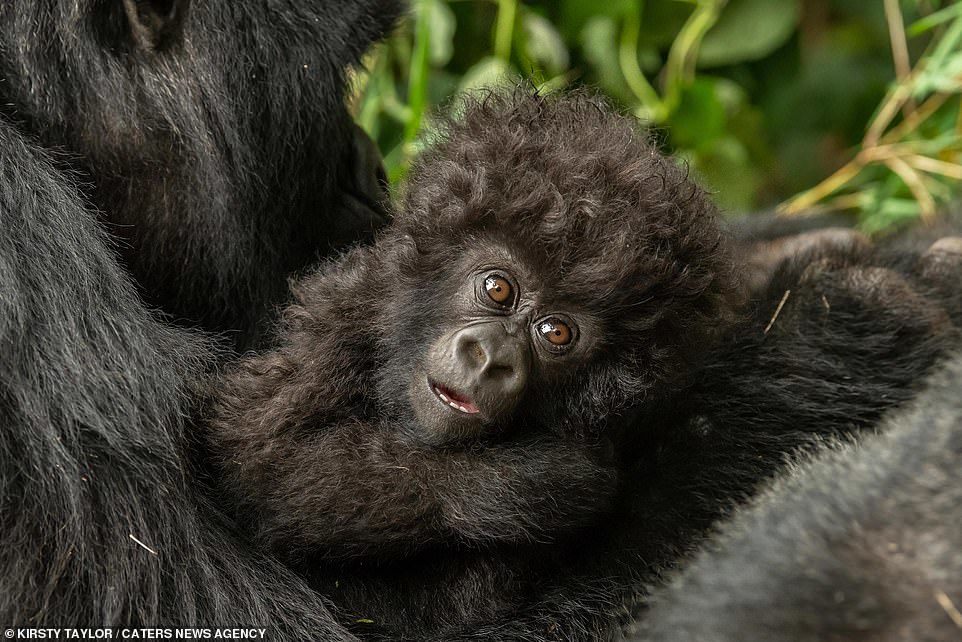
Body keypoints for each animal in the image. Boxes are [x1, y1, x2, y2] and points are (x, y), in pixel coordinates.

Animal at [208, 89, 736, 560]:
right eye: (497, 289)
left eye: (556, 333)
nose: (492, 358)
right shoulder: (340, 314)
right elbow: (266, 454)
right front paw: (533, 480)